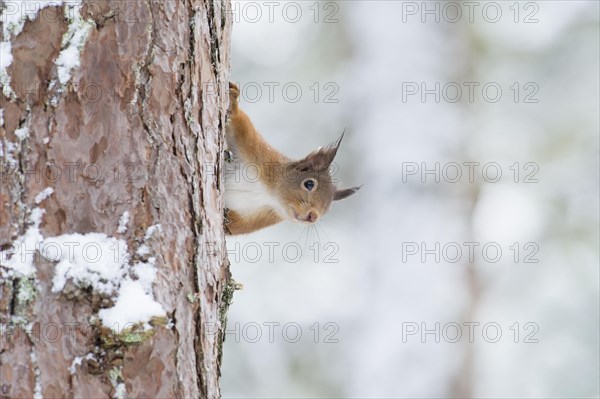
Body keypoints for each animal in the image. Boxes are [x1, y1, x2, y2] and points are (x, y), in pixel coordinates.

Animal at [223, 83, 358, 236]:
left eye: (327, 209)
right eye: (309, 184)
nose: (313, 217)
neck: (271, 196)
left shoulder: (261, 218)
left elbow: (234, 227)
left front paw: (227, 218)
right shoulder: (260, 155)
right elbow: (239, 124)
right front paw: (233, 100)